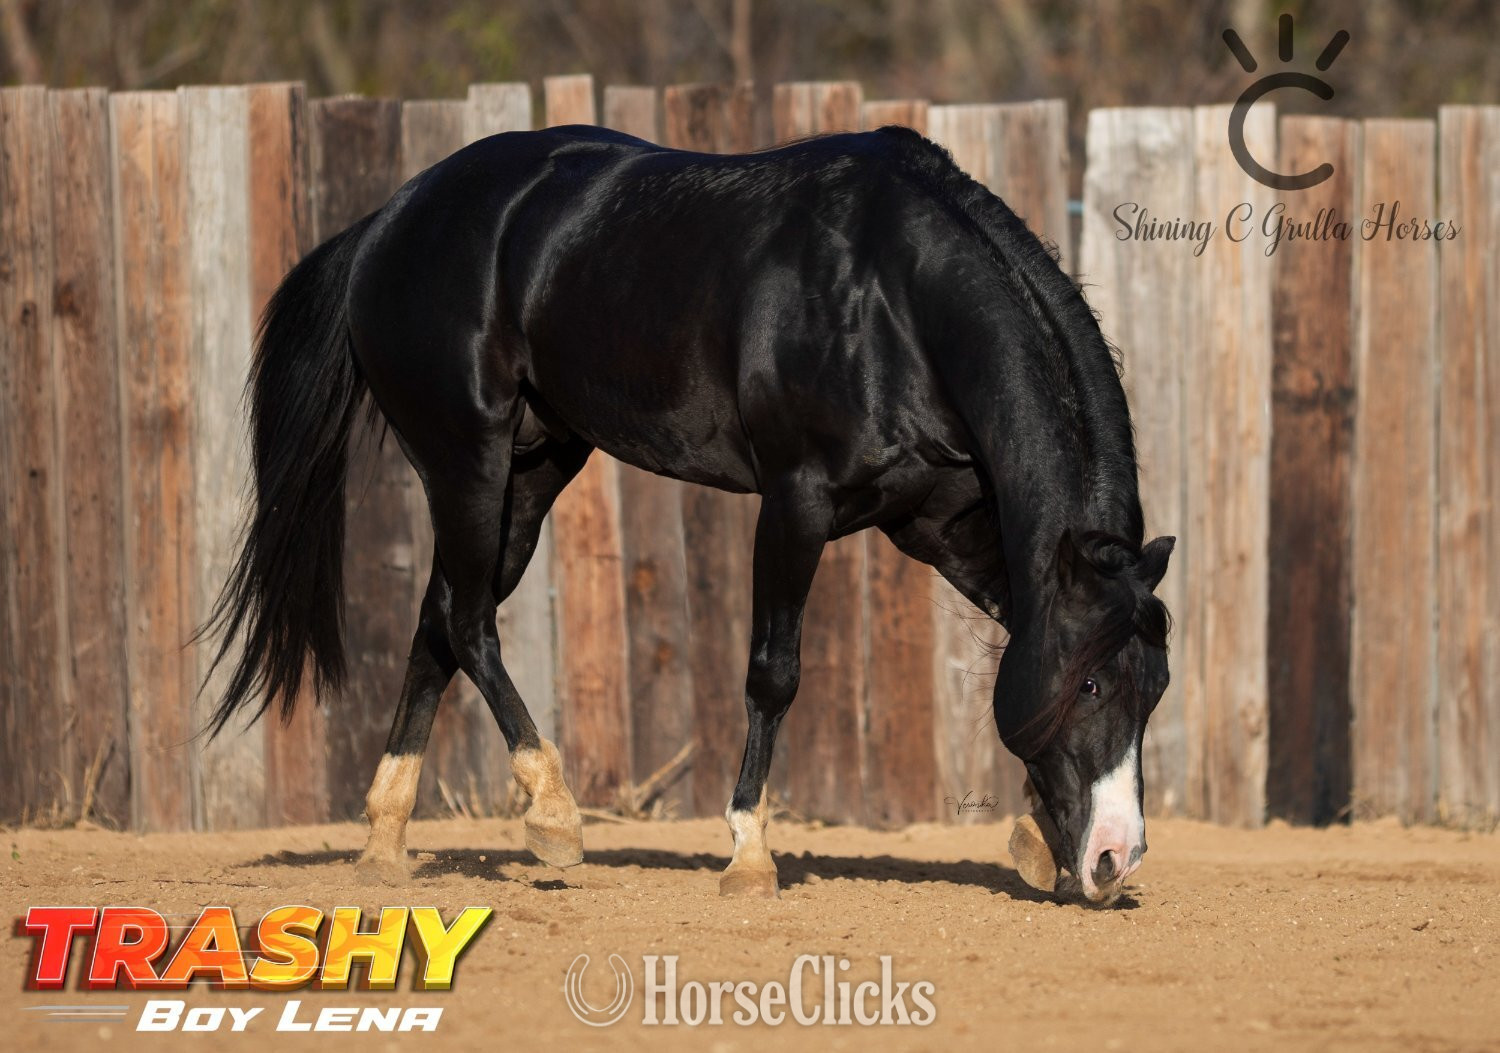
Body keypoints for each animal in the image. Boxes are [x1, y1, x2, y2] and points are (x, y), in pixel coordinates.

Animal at [203, 122, 1174, 905]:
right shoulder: (795, 503)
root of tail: (387, 222)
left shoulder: (945, 526)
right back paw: (553, 815)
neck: (891, 300)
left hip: (535, 466)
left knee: (438, 623)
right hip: (466, 458)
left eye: (1155, 685)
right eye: (1092, 683)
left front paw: (1036, 836)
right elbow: (772, 674)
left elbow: (1020, 634)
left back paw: (385, 842)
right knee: (469, 619)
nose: (1116, 859)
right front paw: (748, 855)